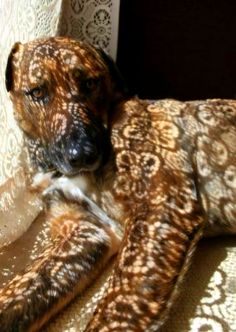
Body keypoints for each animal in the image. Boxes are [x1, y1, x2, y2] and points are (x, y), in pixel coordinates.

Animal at [1, 37, 236, 332]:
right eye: (37, 91)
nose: (83, 154)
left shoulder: (162, 207)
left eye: (90, 83)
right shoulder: (84, 233)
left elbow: (115, 310)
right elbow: (15, 295)